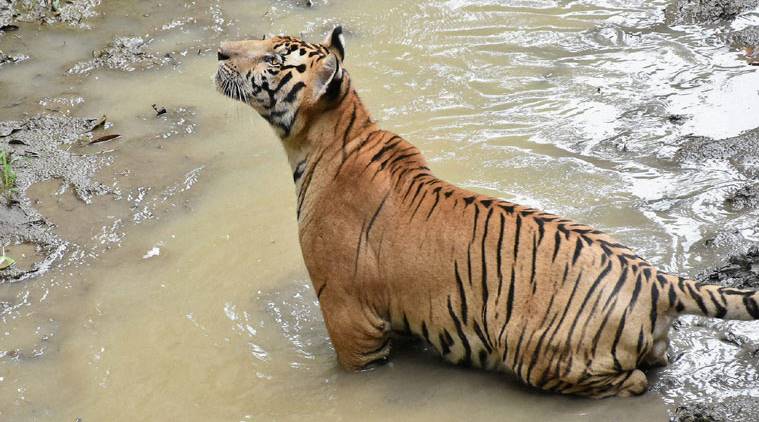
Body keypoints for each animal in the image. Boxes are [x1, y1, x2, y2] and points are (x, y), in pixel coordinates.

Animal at [212, 27, 759, 398]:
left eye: (272, 57)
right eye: (265, 40)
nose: (218, 52)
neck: (325, 136)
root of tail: (654, 278)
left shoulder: (349, 318)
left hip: (538, 355)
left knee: (636, 380)